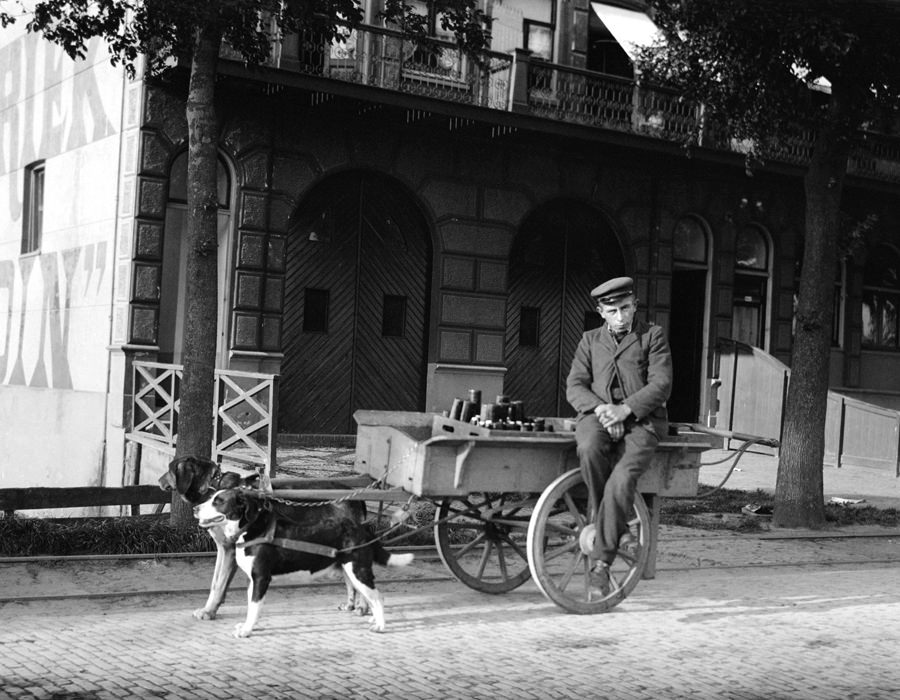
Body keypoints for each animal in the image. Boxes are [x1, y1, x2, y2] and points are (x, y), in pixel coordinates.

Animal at [195, 490, 414, 636]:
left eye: (218, 501)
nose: (195, 508)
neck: (252, 529)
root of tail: (363, 529)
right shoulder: (253, 579)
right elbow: (252, 606)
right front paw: (248, 625)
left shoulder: (261, 577)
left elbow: (255, 607)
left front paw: (247, 630)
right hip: (351, 571)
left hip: (357, 570)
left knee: (377, 597)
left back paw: (380, 625)